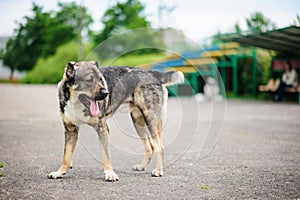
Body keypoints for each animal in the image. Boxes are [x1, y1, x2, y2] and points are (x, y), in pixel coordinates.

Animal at [46, 61, 184, 181]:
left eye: (100, 80)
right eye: (89, 80)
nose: (106, 93)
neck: (76, 103)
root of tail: (153, 73)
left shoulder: (103, 129)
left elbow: (106, 155)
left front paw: (110, 174)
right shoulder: (70, 130)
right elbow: (66, 156)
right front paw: (60, 172)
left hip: (151, 119)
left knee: (159, 146)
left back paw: (159, 171)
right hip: (138, 121)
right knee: (150, 147)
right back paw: (141, 167)